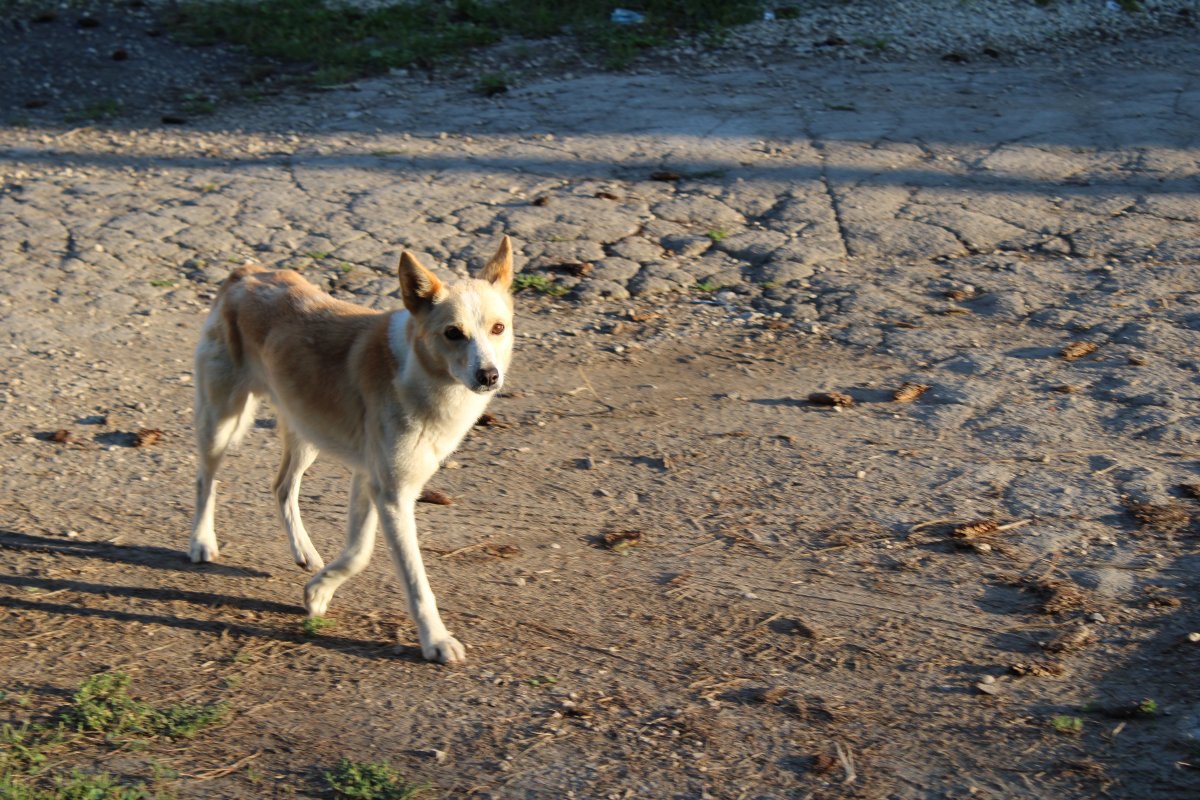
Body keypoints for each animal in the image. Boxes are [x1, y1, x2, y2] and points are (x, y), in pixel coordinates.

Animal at [184, 236, 513, 662]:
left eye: (498, 328)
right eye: (453, 333)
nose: (489, 376)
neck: (419, 372)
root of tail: (247, 273)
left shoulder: (370, 481)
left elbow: (358, 552)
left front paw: (318, 590)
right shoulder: (391, 493)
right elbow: (414, 581)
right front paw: (436, 640)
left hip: (307, 429)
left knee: (282, 487)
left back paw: (304, 551)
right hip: (222, 420)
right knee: (205, 480)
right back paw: (201, 541)